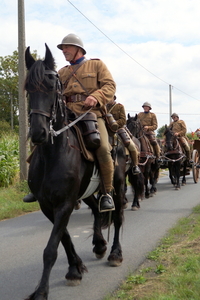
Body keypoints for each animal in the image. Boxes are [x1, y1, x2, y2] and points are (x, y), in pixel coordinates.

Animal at [23, 44, 126, 300]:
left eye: (51, 85)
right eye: (28, 87)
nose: (38, 133)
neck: (53, 154)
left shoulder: (65, 203)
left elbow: (51, 248)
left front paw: (41, 290)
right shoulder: (48, 205)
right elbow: (64, 238)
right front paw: (75, 269)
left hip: (118, 185)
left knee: (117, 216)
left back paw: (115, 253)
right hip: (87, 192)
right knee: (97, 211)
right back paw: (99, 245)